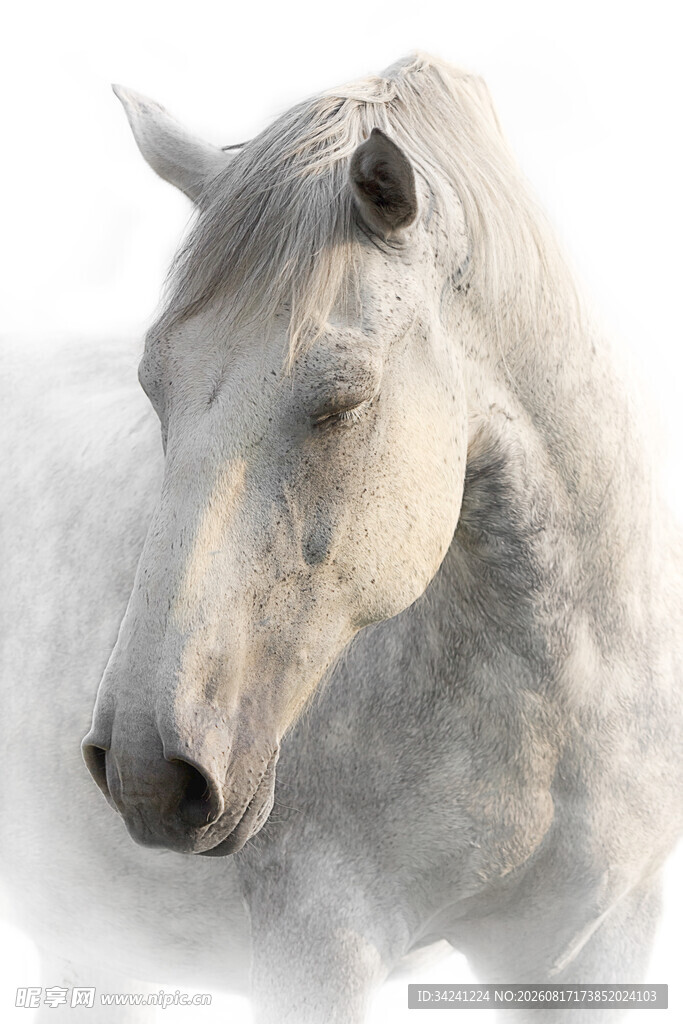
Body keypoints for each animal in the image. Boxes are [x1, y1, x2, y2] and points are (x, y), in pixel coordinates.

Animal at [1, 52, 681, 1023]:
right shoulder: (321, 941)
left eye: (344, 398)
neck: (556, 699)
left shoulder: (594, 943)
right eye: (153, 385)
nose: (146, 769)